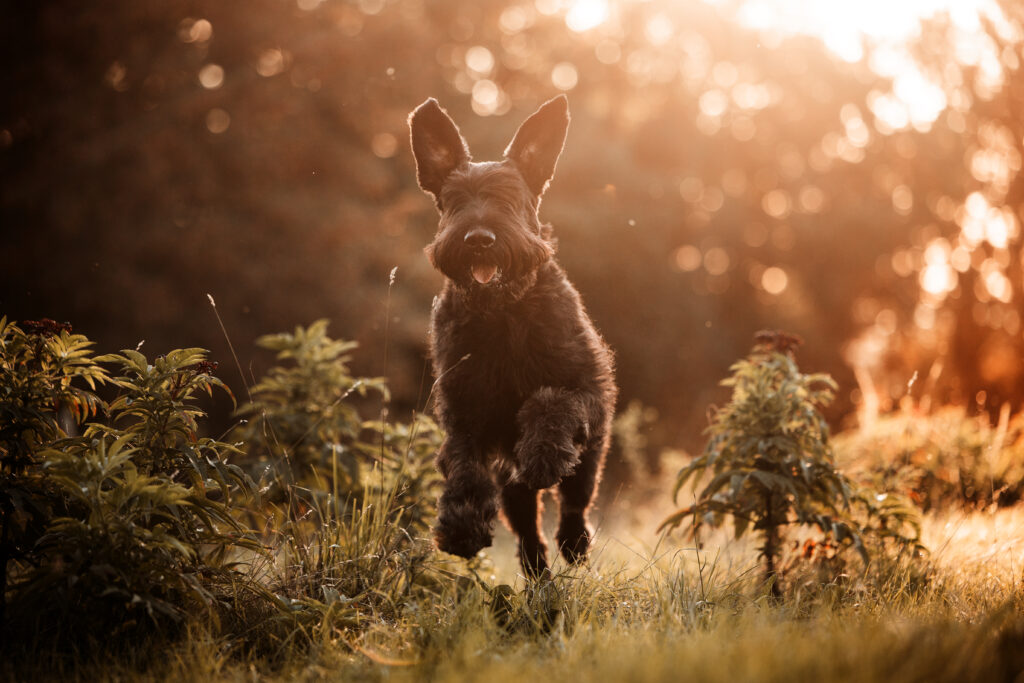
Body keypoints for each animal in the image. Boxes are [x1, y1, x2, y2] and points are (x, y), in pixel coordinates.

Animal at [407, 96, 614, 577]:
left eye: (508, 198)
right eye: (455, 201)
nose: (479, 239)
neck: (503, 313)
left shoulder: (587, 392)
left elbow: (552, 401)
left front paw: (542, 454)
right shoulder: (464, 410)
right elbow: (463, 464)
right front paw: (460, 528)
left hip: (591, 456)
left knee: (575, 500)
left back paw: (574, 543)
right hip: (512, 489)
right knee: (527, 529)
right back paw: (537, 571)